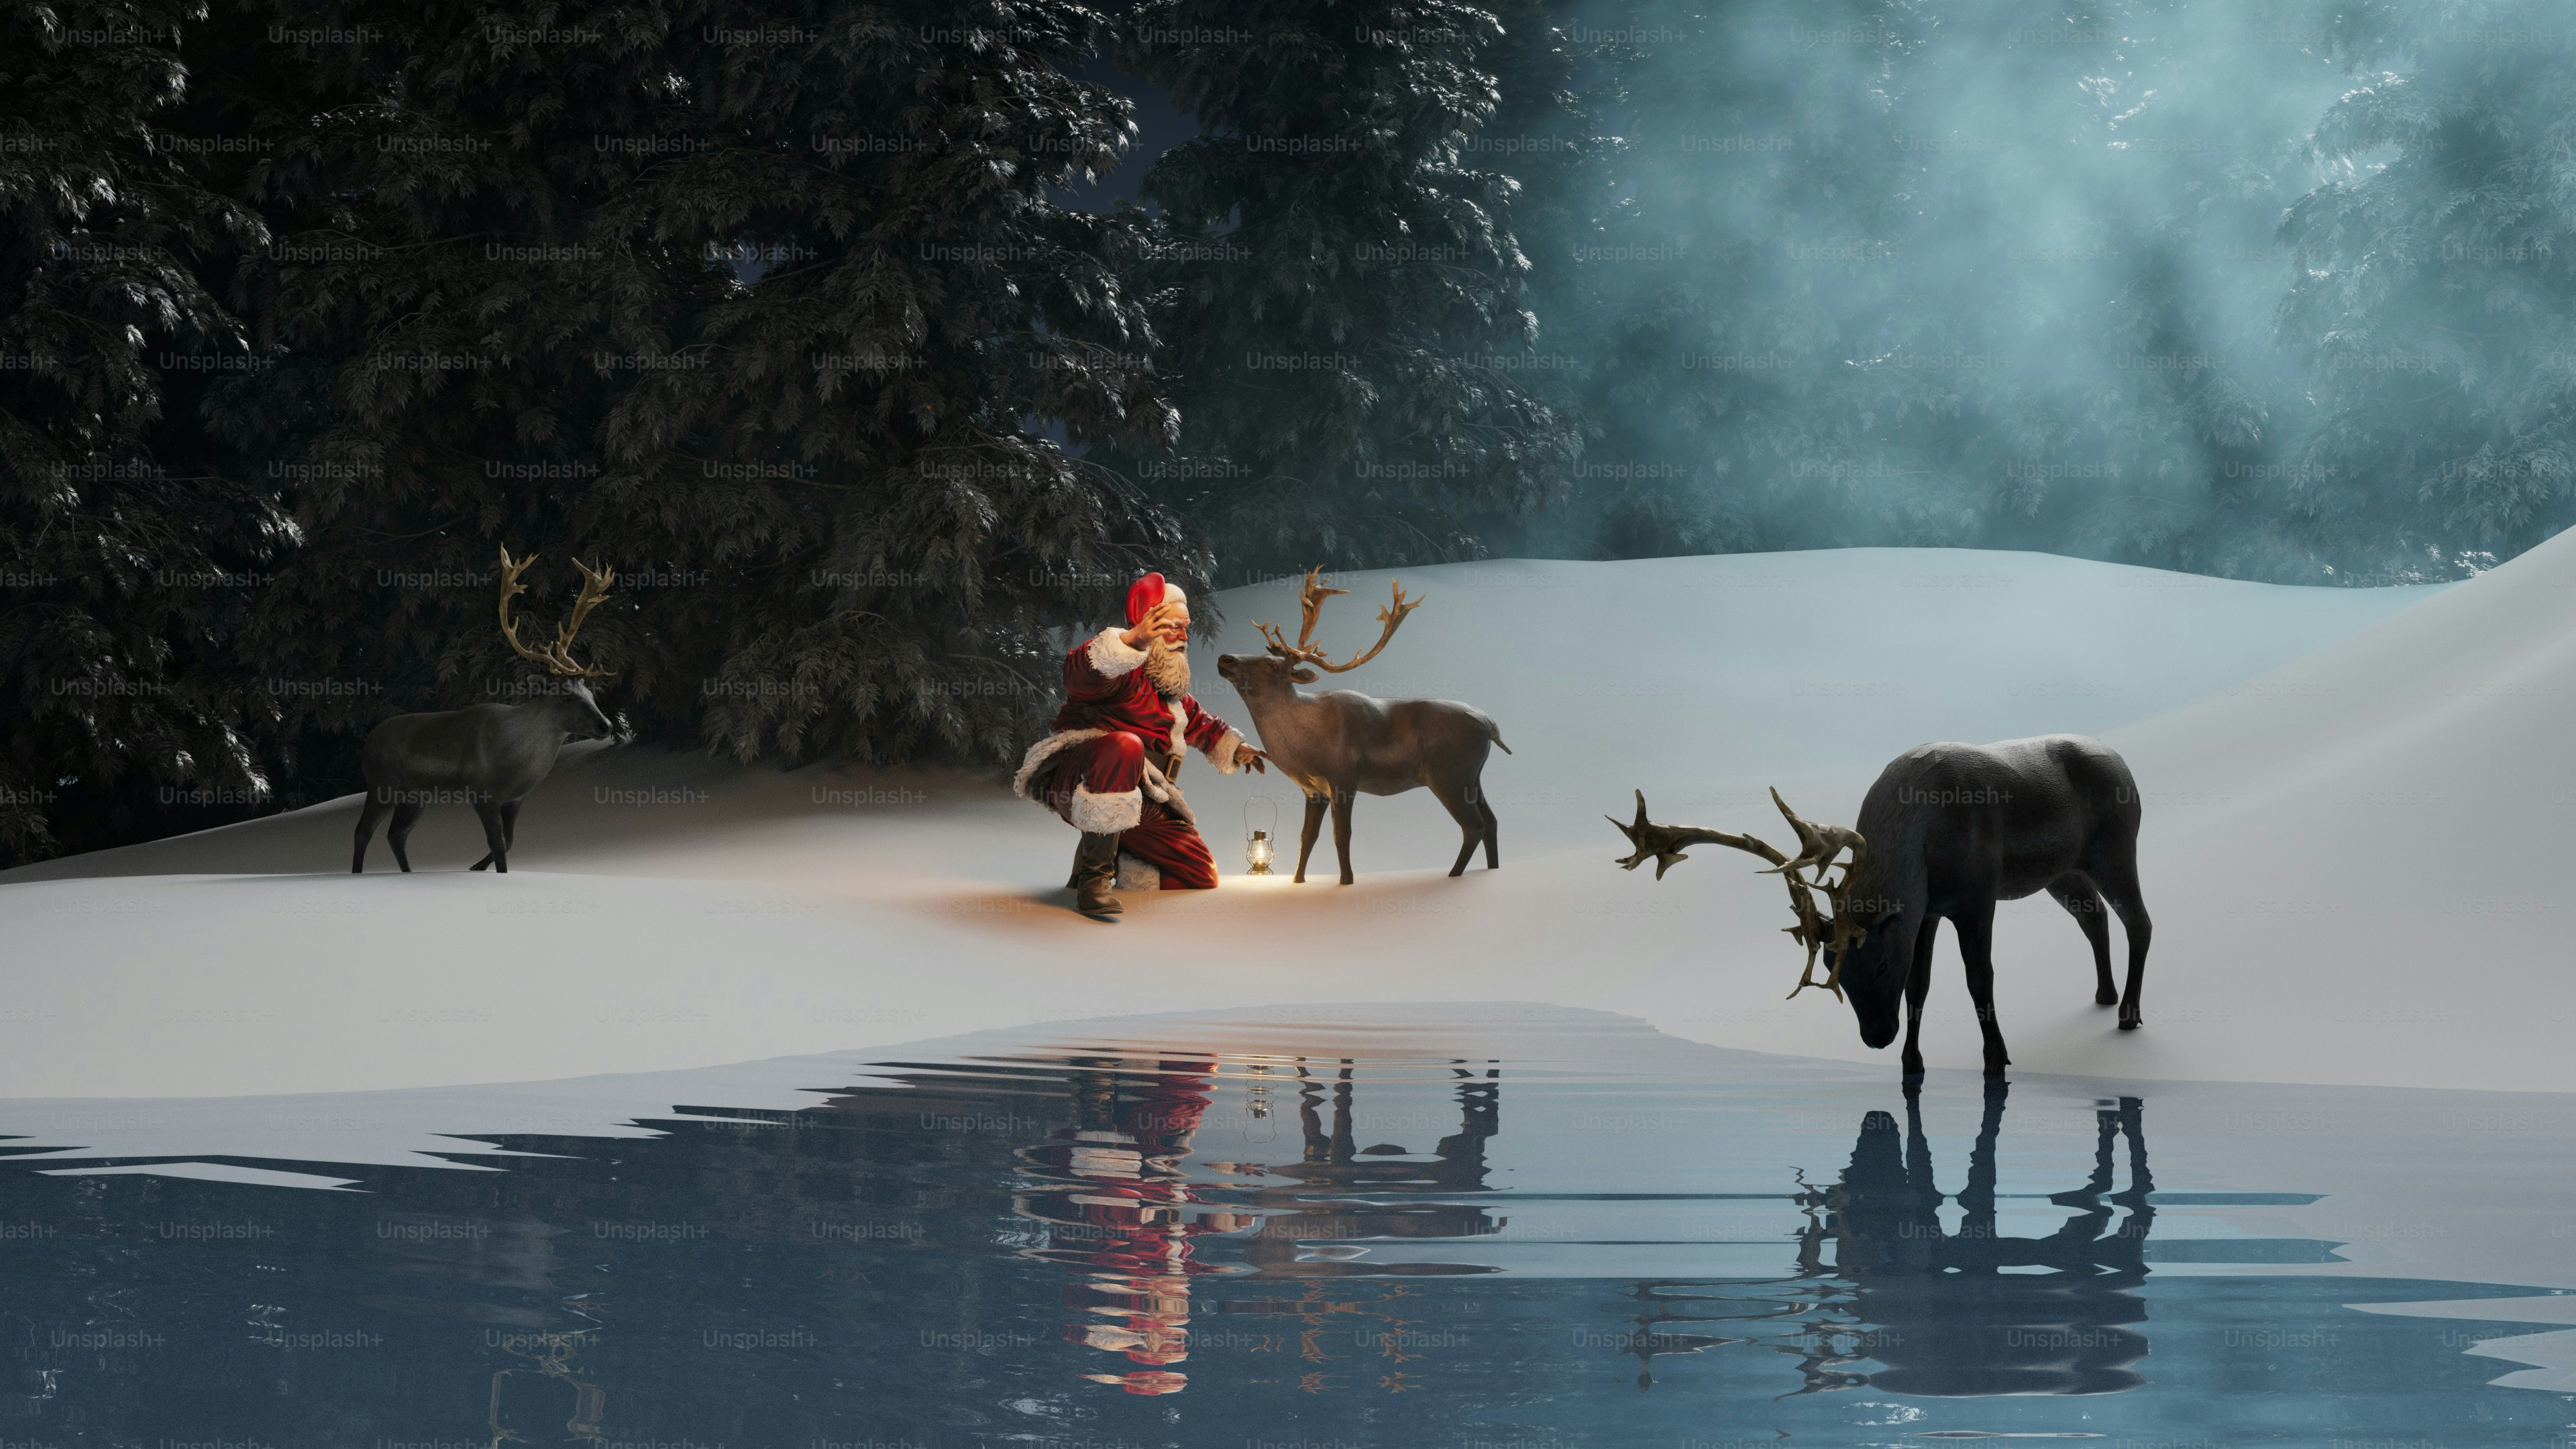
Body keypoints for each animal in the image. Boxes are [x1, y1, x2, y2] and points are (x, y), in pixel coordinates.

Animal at [351, 546, 619, 874]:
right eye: (566, 697)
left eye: (590, 693)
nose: (606, 726)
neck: (517, 759)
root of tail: (367, 742)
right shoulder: (482, 792)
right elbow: (499, 843)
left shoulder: (515, 799)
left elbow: (511, 841)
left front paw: (475, 868)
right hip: (381, 784)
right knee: (363, 830)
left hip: (416, 794)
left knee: (396, 834)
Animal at [1213, 568, 1511, 885]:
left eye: (1272, 665)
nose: (1225, 657)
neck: (1305, 749)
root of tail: (1490, 725)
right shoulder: (1314, 790)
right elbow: (1307, 837)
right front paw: (1298, 881)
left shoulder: (1345, 776)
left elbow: (1341, 835)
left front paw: (1346, 881)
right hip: (1473, 775)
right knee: (1491, 820)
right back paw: (1491, 870)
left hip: (1449, 773)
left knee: (1474, 825)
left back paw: (1454, 875)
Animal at [1612, 734, 2150, 1078]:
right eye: (1834, 969)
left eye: (1881, 964)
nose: (1876, 1037)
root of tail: (2125, 765)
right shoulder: (1927, 909)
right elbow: (1921, 985)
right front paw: (1912, 1065)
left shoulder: (1977, 896)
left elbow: (1979, 979)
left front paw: (1997, 1060)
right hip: (2064, 871)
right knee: (2094, 917)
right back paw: (2104, 996)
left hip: (2116, 848)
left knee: (2139, 921)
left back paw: (2128, 1014)